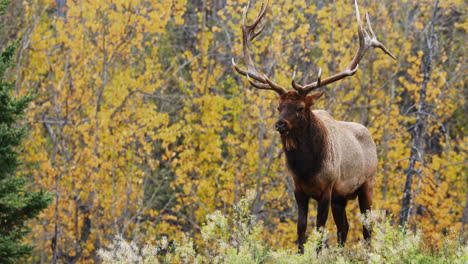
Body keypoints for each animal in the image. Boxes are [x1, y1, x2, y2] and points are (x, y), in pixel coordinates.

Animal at [231, 0, 394, 253]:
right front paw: (300, 251)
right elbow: (301, 228)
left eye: (300, 107)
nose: (279, 124)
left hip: (367, 183)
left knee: (367, 226)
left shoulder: (326, 188)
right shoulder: (299, 190)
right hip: (341, 197)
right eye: (278, 106)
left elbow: (319, 229)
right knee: (344, 227)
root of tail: (370, 136)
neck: (306, 168)